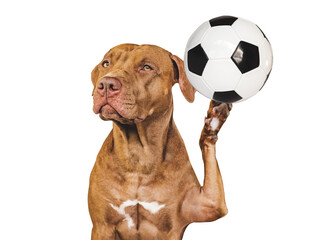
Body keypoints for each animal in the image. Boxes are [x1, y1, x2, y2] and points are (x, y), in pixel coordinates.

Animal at [89, 44, 231, 239]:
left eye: (146, 67)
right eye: (106, 63)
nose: (107, 84)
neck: (138, 156)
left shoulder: (209, 205)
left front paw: (214, 120)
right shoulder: (102, 226)